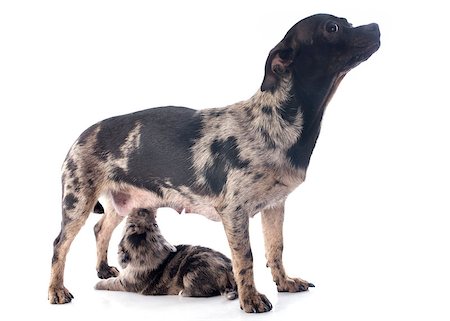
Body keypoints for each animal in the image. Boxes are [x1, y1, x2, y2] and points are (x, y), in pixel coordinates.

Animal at [93, 208, 237, 300]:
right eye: (155, 225)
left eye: (130, 227)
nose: (143, 209)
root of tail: (229, 271)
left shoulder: (125, 283)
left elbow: (110, 283)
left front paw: (97, 285)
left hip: (191, 274)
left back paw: (183, 292)